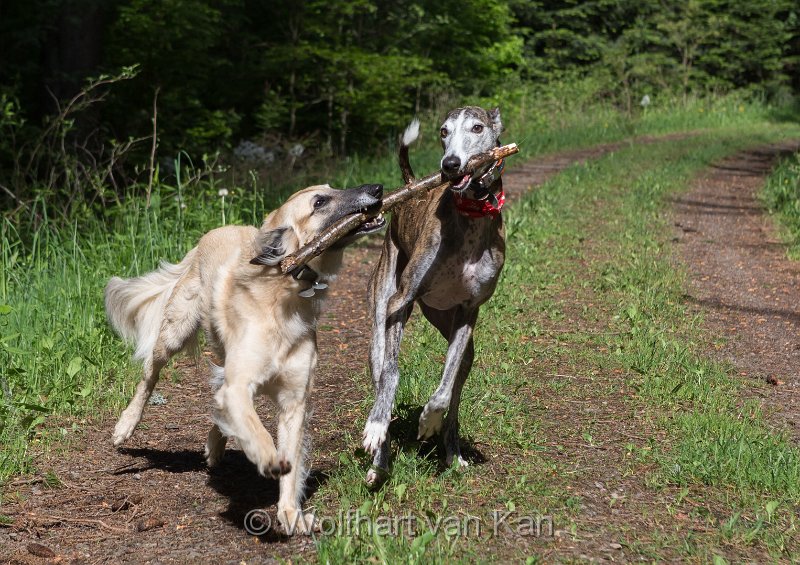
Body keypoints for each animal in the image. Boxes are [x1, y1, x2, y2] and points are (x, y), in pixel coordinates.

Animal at [105, 183, 384, 532]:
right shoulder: (240, 385)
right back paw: (125, 425)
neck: (283, 296)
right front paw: (268, 457)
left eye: (333, 188)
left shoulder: (294, 401)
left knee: (216, 399)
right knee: (149, 376)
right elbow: (256, 428)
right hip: (174, 334)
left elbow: (289, 459)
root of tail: (211, 234)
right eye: (319, 202)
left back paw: (214, 446)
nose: (377, 188)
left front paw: (290, 513)